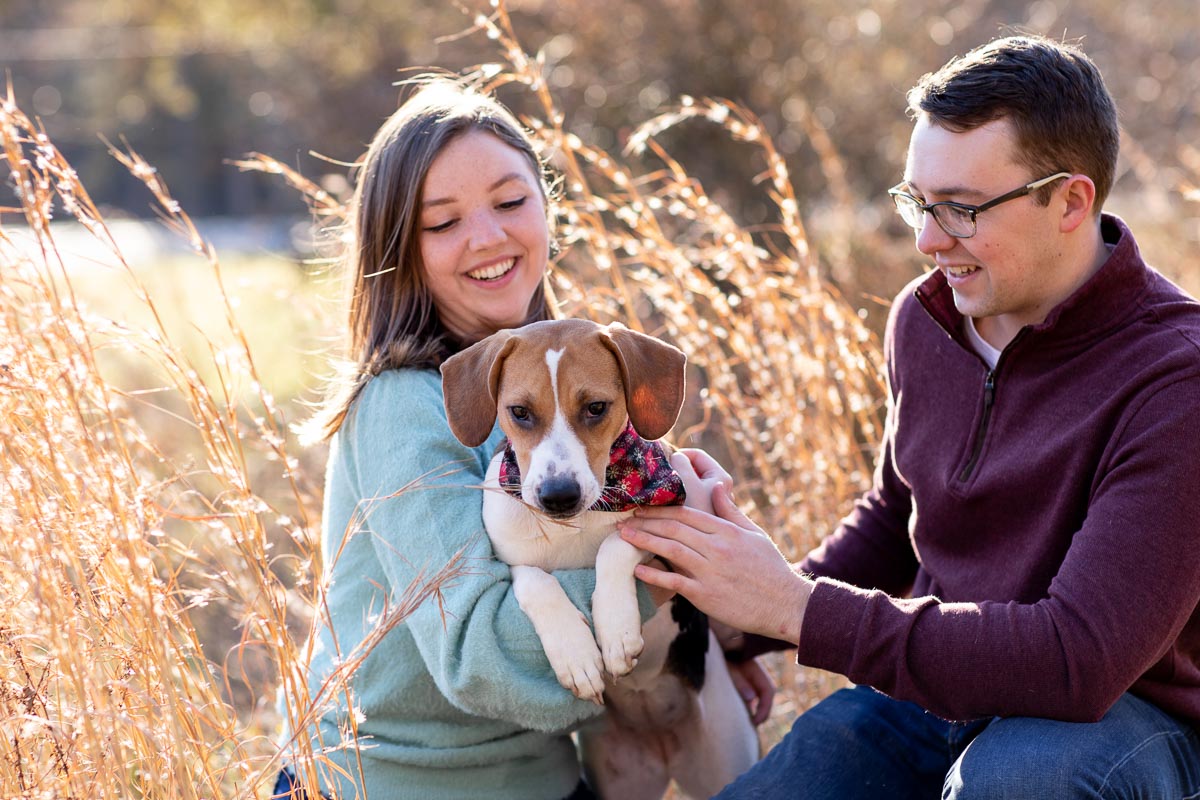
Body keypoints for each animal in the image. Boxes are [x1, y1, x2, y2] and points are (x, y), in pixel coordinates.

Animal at [441, 319, 758, 800]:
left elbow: (616, 545)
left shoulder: (670, 519)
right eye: (519, 412)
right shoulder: (508, 561)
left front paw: (615, 629)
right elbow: (536, 581)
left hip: (724, 751)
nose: (557, 496)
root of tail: (663, 742)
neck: (575, 525)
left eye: (595, 407)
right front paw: (576, 655)